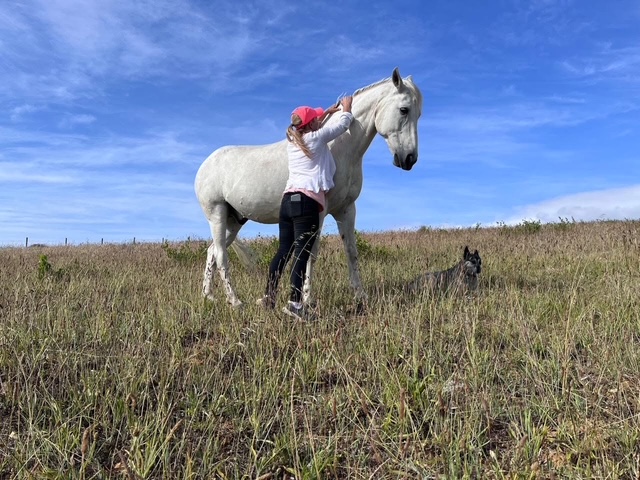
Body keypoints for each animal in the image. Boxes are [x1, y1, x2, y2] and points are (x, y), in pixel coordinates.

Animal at [198, 67, 422, 308]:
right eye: (404, 110)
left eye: (418, 114)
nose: (409, 159)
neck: (337, 147)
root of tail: (205, 165)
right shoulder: (319, 212)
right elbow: (310, 253)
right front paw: (307, 298)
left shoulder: (346, 210)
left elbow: (351, 251)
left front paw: (361, 296)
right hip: (217, 214)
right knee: (221, 254)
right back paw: (235, 300)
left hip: (234, 221)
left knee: (212, 251)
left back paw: (208, 296)